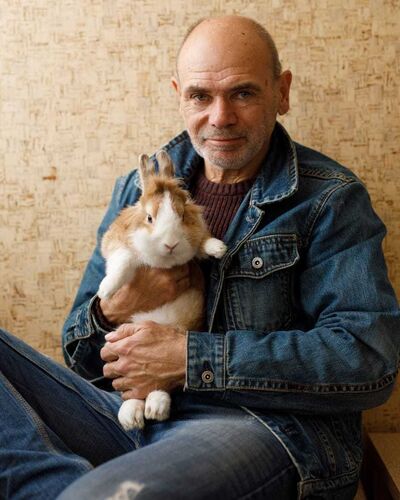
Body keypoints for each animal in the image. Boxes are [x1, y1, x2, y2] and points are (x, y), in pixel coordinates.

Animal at [97, 150, 227, 431]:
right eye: (149, 218)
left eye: (182, 215)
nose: (170, 244)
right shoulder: (117, 245)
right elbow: (124, 260)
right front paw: (106, 290)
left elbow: (202, 242)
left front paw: (219, 248)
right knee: (134, 392)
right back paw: (132, 416)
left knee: (159, 383)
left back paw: (155, 409)